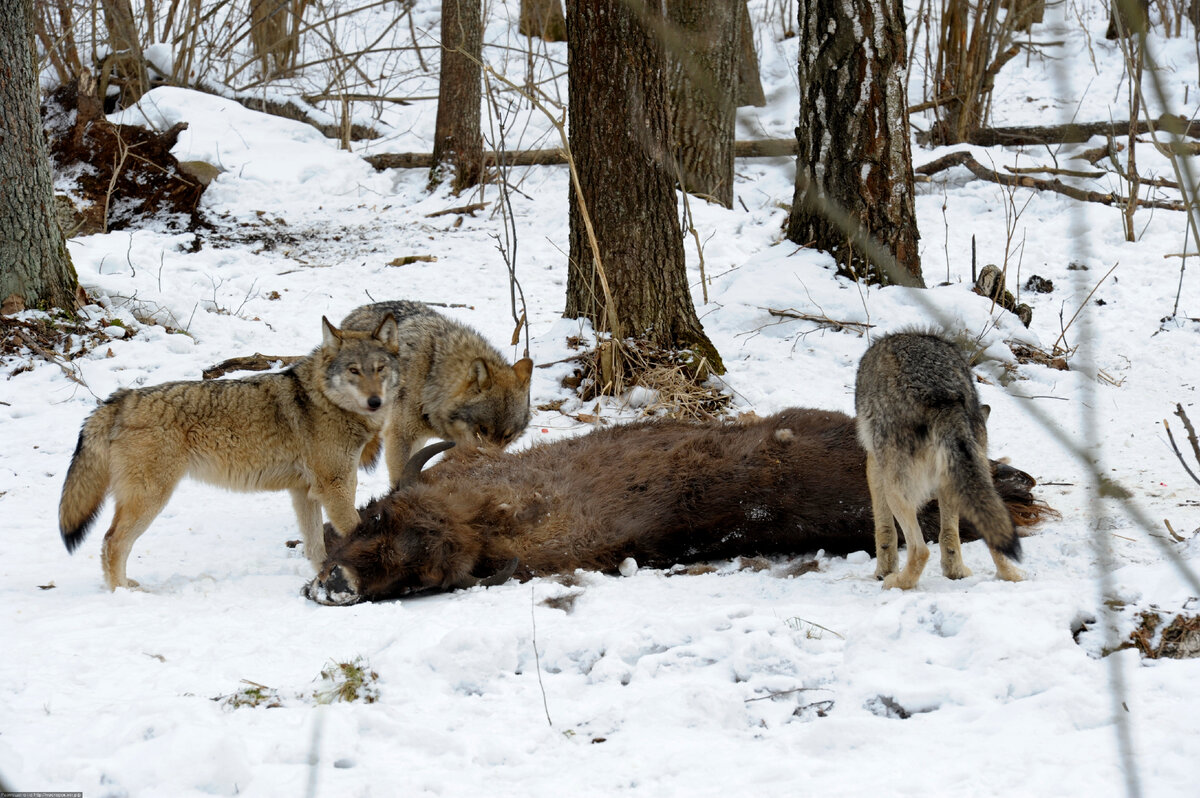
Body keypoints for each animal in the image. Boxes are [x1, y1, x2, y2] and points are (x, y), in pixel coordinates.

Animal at [58, 314, 403, 588]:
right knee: (112, 542)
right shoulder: (335, 487)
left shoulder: (304, 492)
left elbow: (315, 546)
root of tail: (120, 398)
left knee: (110, 542)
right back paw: (123, 592)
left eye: (379, 368)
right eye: (354, 371)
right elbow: (355, 531)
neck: (321, 399)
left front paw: (324, 577)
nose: (376, 402)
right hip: (150, 499)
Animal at [340, 298, 532, 484]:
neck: (430, 377)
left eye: (507, 437)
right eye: (483, 430)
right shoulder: (399, 436)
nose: (490, 460)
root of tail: (356, 312)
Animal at [854, 326, 1022, 588]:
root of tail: (943, 394)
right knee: (979, 537)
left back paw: (896, 582)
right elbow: (949, 534)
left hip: (897, 491)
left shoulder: (873, 464)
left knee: (920, 550)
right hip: (973, 479)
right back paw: (1002, 575)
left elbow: (884, 528)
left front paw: (883, 570)